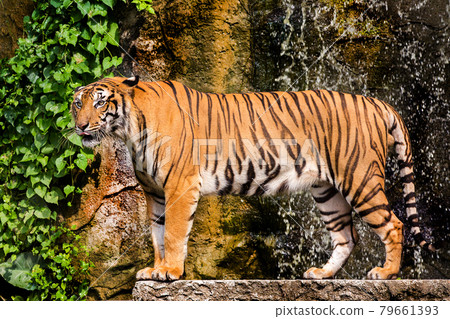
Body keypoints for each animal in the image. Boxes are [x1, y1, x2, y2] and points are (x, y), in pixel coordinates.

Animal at [71, 76, 436, 282]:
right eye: (77, 103)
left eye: (100, 102)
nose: (81, 126)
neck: (130, 129)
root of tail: (374, 101)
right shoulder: (155, 193)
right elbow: (157, 235)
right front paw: (155, 269)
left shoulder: (179, 186)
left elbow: (173, 234)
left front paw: (169, 272)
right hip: (327, 191)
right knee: (347, 237)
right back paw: (322, 273)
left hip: (359, 178)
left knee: (393, 224)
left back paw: (386, 273)